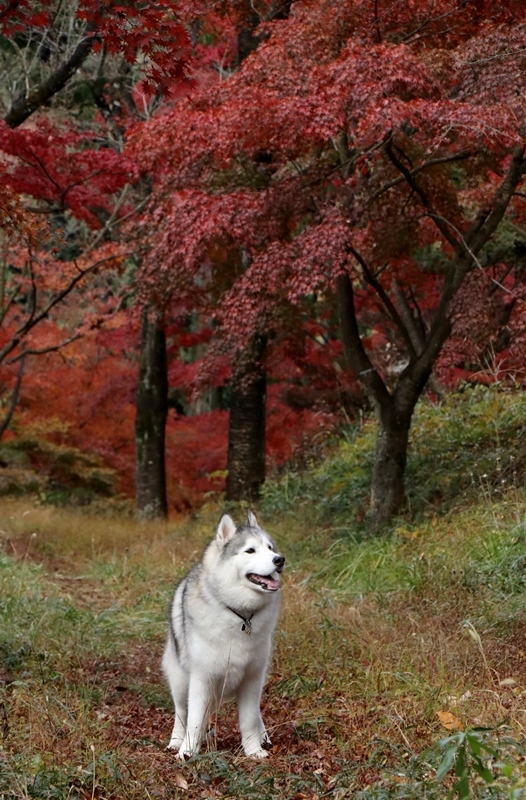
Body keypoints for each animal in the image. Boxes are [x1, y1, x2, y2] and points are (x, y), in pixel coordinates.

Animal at [163, 510, 286, 760]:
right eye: (250, 550)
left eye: (270, 548)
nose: (279, 559)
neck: (241, 616)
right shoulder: (201, 679)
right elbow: (193, 721)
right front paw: (187, 752)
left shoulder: (252, 679)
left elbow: (249, 719)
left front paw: (253, 750)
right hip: (180, 681)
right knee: (181, 713)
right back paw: (176, 741)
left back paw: (264, 737)